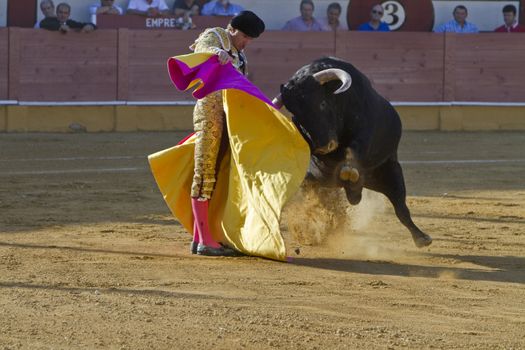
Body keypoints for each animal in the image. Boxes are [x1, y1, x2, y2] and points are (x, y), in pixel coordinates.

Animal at [272, 57, 432, 247]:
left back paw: (421, 237)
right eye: (296, 114)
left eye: (322, 104)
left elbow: (355, 147)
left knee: (400, 207)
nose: (323, 145)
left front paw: (349, 169)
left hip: (391, 174)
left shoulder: (363, 133)